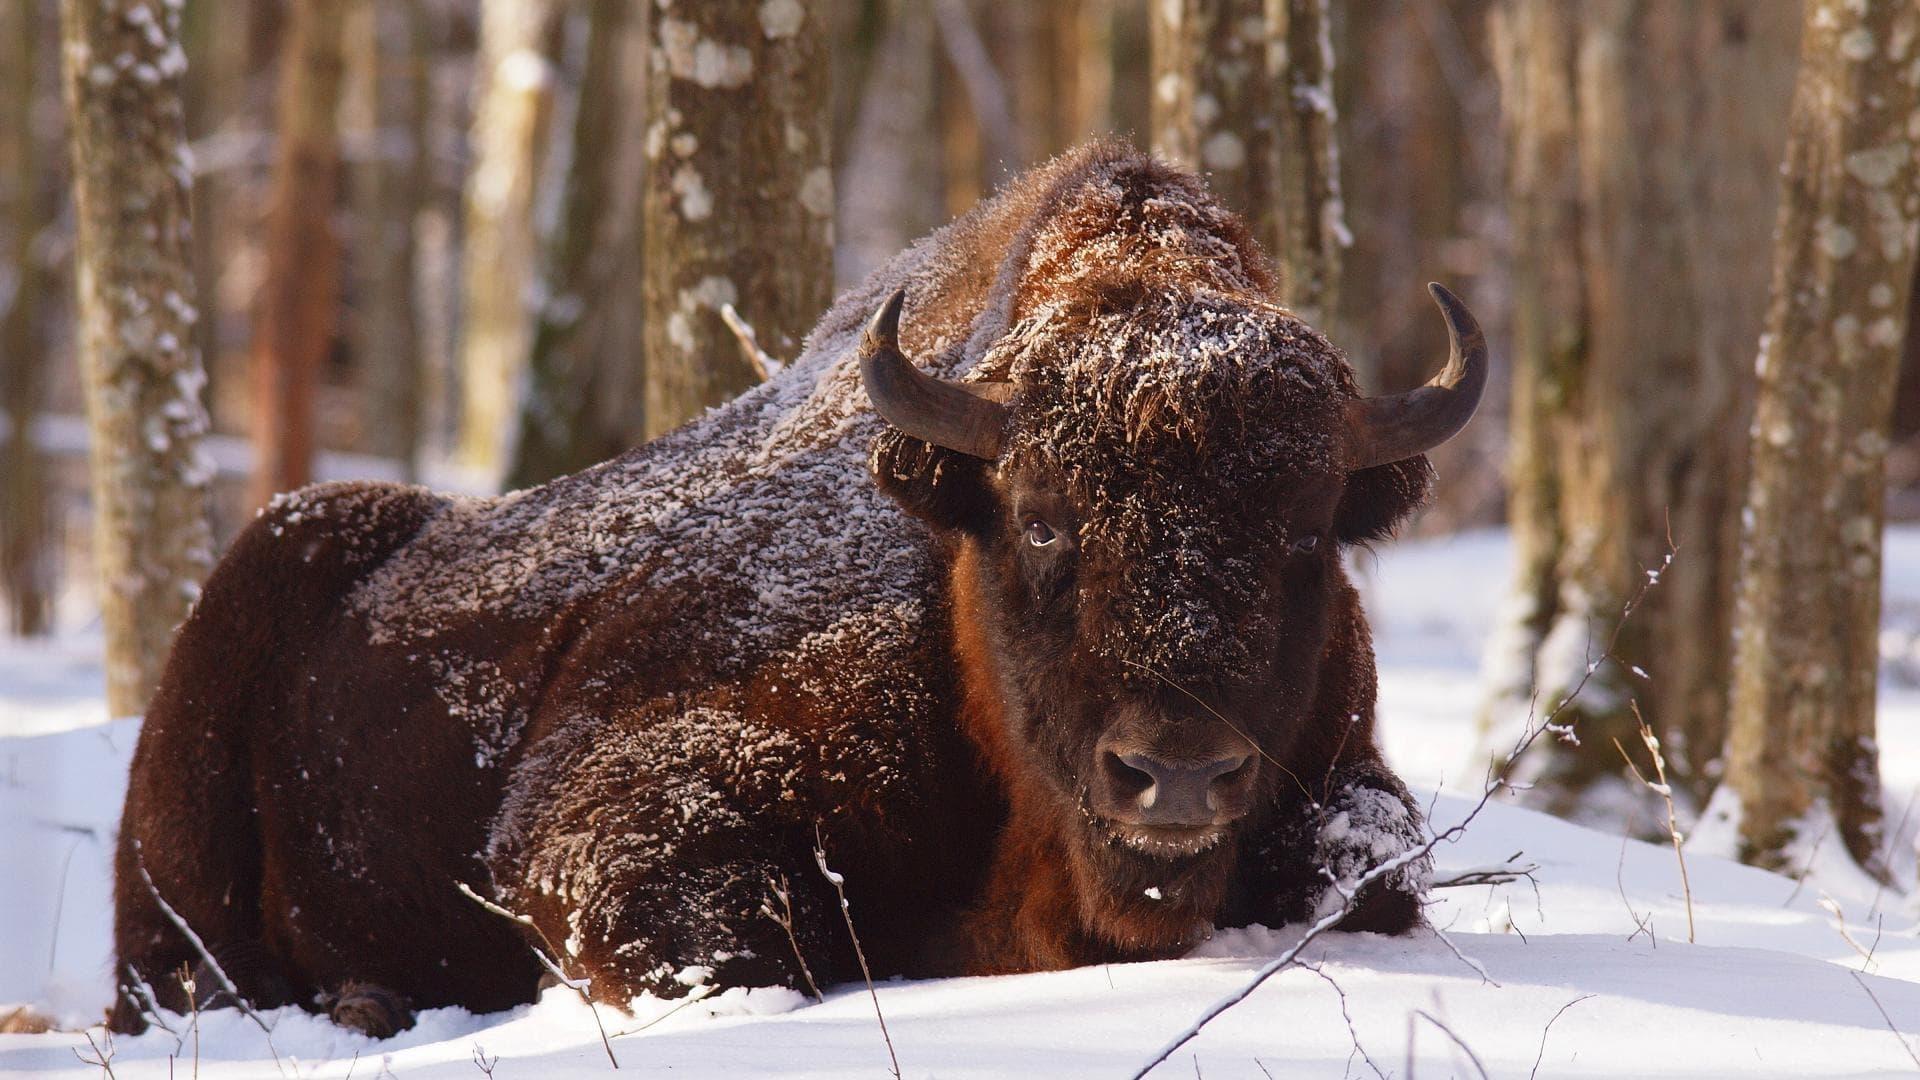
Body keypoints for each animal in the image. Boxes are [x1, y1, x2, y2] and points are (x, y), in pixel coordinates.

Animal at [108, 138, 1482, 1030]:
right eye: (1041, 519)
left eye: (1306, 533)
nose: (1178, 773)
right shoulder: (610, 808)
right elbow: (738, 942)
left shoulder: (1348, 769)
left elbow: (1366, 864)